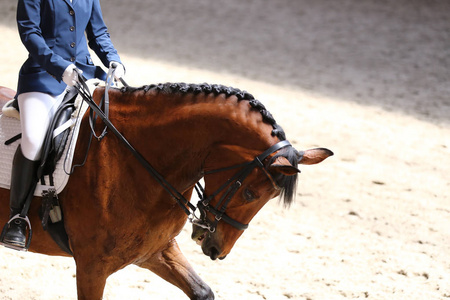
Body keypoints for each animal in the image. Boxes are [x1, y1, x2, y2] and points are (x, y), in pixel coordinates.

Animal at [0, 82, 330, 300]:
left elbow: (202, 291)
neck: (135, 158)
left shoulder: (155, 250)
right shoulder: (91, 266)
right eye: (250, 193)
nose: (218, 250)